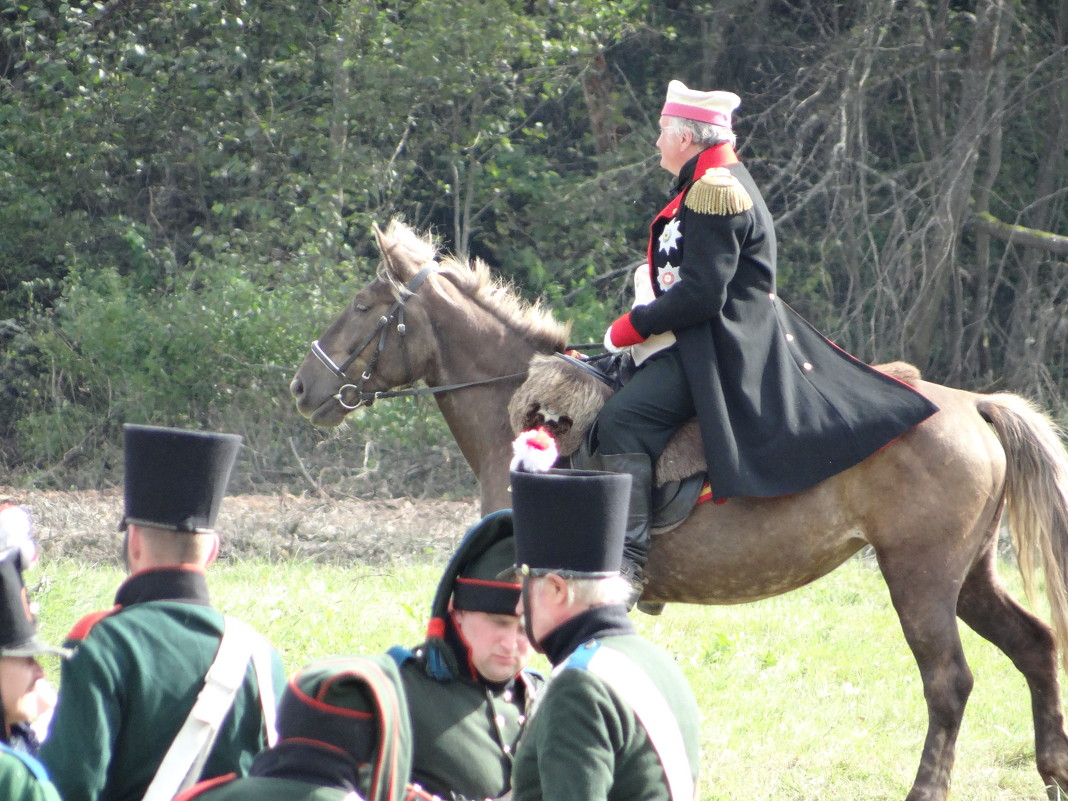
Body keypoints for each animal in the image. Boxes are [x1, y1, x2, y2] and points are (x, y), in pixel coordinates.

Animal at [290, 220, 1068, 801]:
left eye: (362, 307)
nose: (302, 387)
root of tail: (974, 404)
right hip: (967, 578)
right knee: (1034, 645)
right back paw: (1054, 772)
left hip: (920, 579)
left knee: (948, 682)